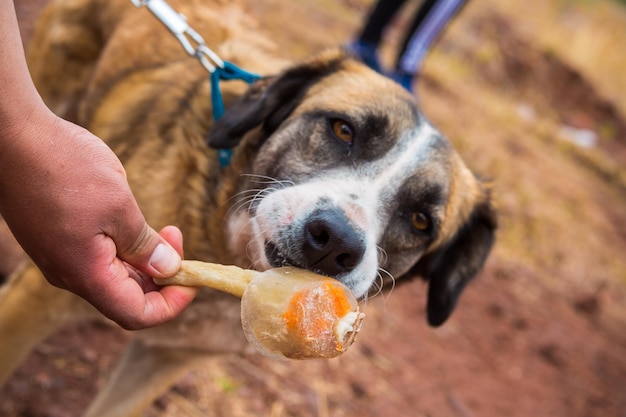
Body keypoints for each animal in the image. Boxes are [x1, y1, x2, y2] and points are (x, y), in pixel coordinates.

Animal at [1, 0, 498, 414]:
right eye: (342, 130)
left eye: (420, 220)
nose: (335, 241)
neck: (226, 255)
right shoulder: (36, 302)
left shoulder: (165, 359)